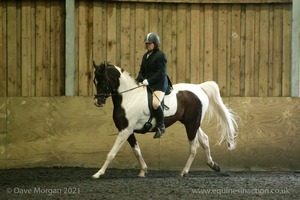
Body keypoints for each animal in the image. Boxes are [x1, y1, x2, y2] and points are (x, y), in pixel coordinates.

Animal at [91, 61, 237, 178]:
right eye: (94, 81)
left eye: (102, 81)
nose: (98, 102)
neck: (129, 97)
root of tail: (198, 87)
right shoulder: (127, 130)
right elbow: (137, 151)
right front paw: (143, 171)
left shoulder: (125, 130)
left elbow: (111, 153)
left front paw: (98, 173)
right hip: (192, 123)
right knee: (205, 140)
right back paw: (213, 165)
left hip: (191, 124)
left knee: (194, 146)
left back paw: (184, 172)